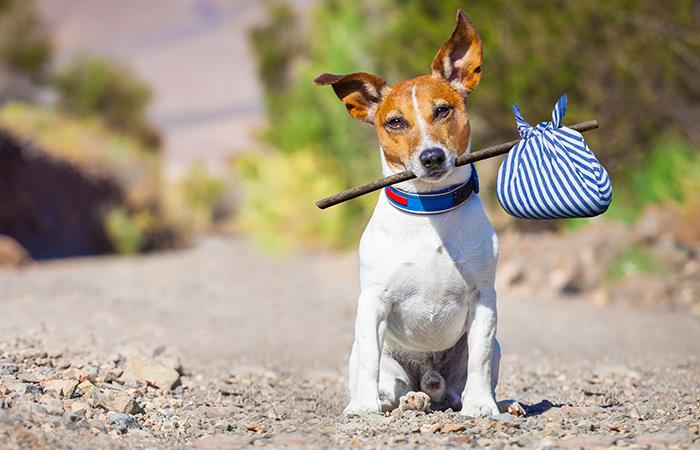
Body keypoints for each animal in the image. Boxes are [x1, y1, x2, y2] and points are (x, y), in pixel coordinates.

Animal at [314, 9, 516, 418]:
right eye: (395, 122)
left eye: (442, 110)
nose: (432, 157)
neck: (431, 211)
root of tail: (430, 380)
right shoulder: (373, 302)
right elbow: (370, 362)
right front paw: (362, 408)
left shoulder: (484, 299)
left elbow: (480, 359)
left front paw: (483, 406)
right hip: (377, 358)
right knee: (391, 384)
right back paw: (408, 398)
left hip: (489, 350)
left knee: (461, 385)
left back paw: (496, 402)